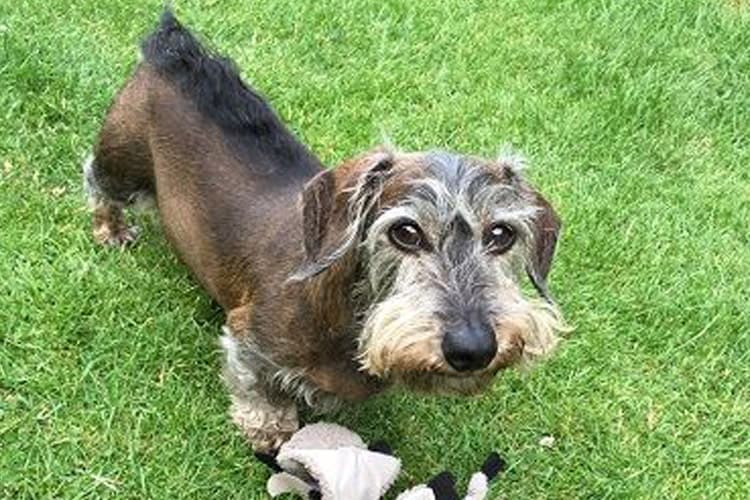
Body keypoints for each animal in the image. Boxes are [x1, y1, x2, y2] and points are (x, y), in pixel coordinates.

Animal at [83, 13, 564, 454]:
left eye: (500, 234)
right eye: (406, 232)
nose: (474, 348)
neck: (345, 312)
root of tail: (174, 47)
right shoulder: (247, 338)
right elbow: (258, 392)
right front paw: (269, 431)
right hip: (121, 164)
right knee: (94, 179)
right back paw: (111, 229)